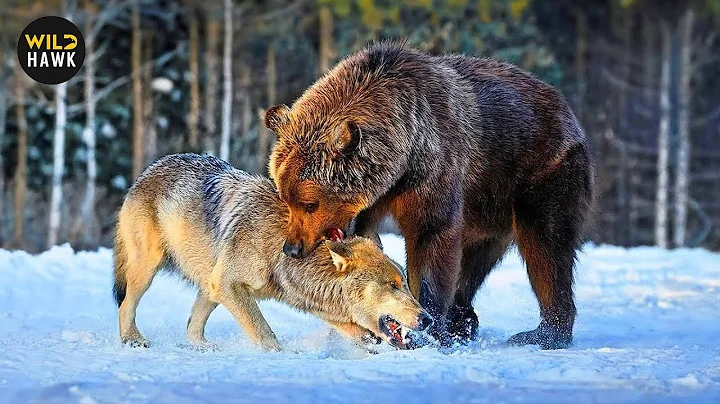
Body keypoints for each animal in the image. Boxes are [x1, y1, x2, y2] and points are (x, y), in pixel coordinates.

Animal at [265, 41, 595, 349]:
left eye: (310, 203)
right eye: (286, 198)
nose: (292, 248)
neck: (403, 152)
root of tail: (564, 105)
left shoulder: (434, 169)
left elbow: (431, 236)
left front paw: (427, 327)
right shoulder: (378, 195)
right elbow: (368, 239)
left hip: (538, 172)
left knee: (546, 247)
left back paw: (543, 332)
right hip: (489, 199)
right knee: (477, 252)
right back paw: (464, 321)